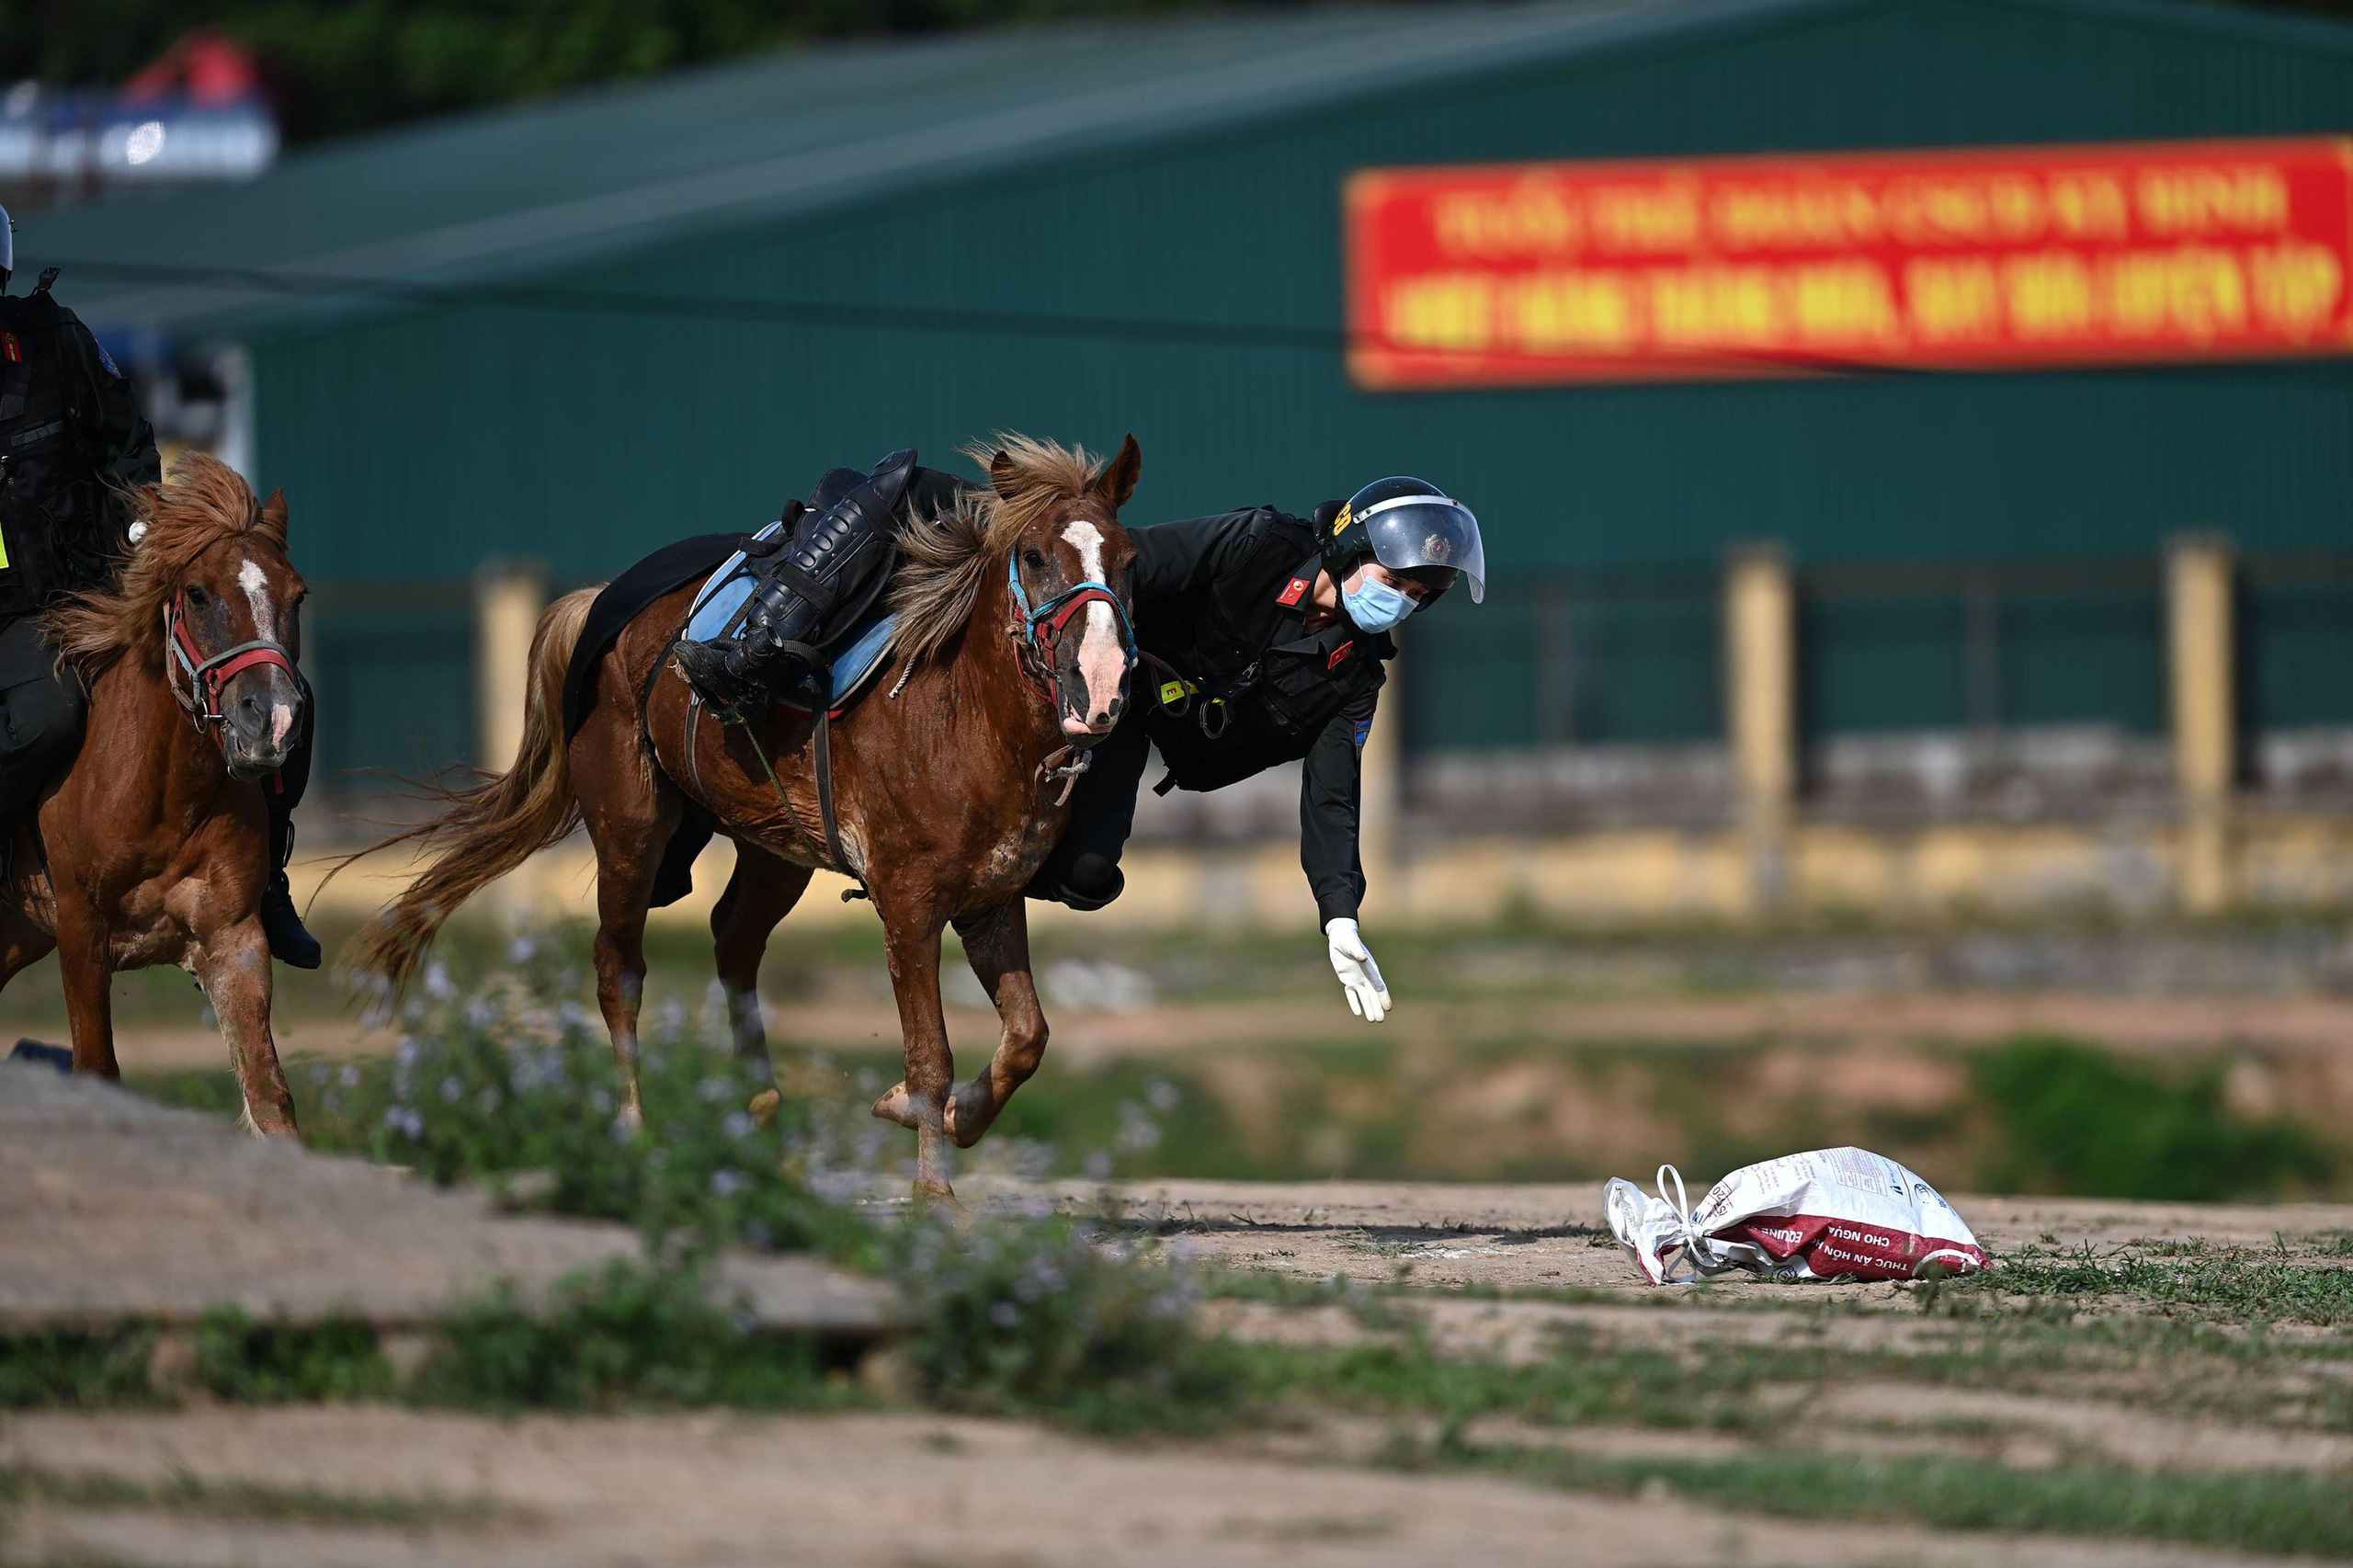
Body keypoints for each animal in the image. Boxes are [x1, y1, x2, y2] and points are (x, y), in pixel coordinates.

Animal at [1, 451, 313, 1125]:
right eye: (197, 594)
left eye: (297, 595)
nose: (273, 719)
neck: (162, 798)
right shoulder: (81, 935)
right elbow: (97, 1071)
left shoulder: (234, 940)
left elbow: (268, 1094)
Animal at [350, 433, 1148, 1191]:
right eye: (1035, 556)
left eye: (1130, 561)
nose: (1103, 686)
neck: (963, 711)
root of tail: (601, 599)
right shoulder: (909, 905)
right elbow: (931, 1058)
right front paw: (933, 1190)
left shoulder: (991, 900)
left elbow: (1027, 1038)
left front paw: (955, 1118)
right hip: (631, 831)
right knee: (619, 969)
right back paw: (635, 1130)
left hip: (775, 849)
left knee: (733, 941)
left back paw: (759, 1113)